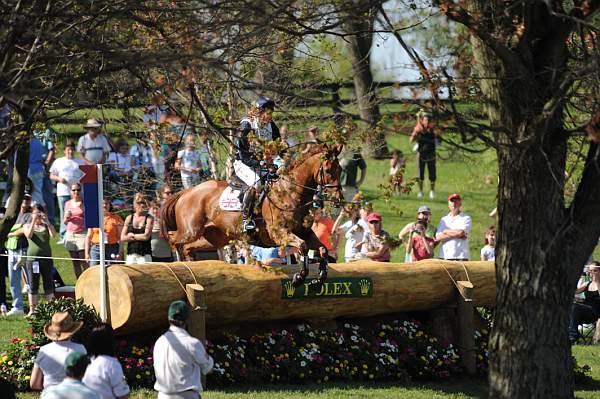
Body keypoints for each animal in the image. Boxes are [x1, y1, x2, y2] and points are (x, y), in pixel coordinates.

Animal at [161, 146, 342, 284]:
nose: (337, 199)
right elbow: (303, 246)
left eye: (340, 169)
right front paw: (300, 277)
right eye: (328, 170)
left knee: (188, 247)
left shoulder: (305, 233)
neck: (290, 193)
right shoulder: (279, 234)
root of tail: (187, 191)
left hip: (215, 238)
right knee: (173, 239)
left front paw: (320, 278)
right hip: (190, 230)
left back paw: (190, 266)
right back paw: (178, 264)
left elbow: (323, 249)